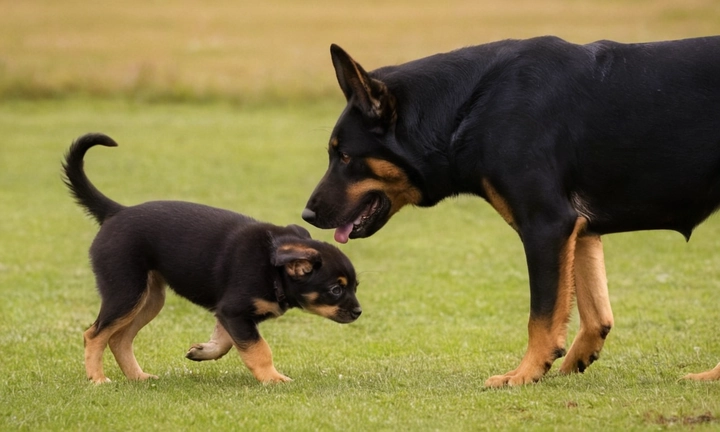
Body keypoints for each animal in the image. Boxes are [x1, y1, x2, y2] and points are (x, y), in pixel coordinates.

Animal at [62, 133, 362, 384]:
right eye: (335, 289)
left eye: (355, 286)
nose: (358, 312)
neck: (273, 268)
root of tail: (116, 212)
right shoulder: (234, 311)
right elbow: (259, 349)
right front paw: (273, 379)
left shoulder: (228, 312)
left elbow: (227, 342)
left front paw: (203, 351)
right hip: (126, 291)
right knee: (94, 334)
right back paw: (98, 379)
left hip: (149, 298)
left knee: (119, 339)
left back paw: (139, 377)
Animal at [302, 35, 720, 386]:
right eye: (333, 154)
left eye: (344, 156)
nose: (306, 216)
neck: (468, 110)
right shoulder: (580, 229)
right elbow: (595, 313)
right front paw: (574, 361)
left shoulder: (546, 225)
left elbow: (542, 317)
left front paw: (524, 374)